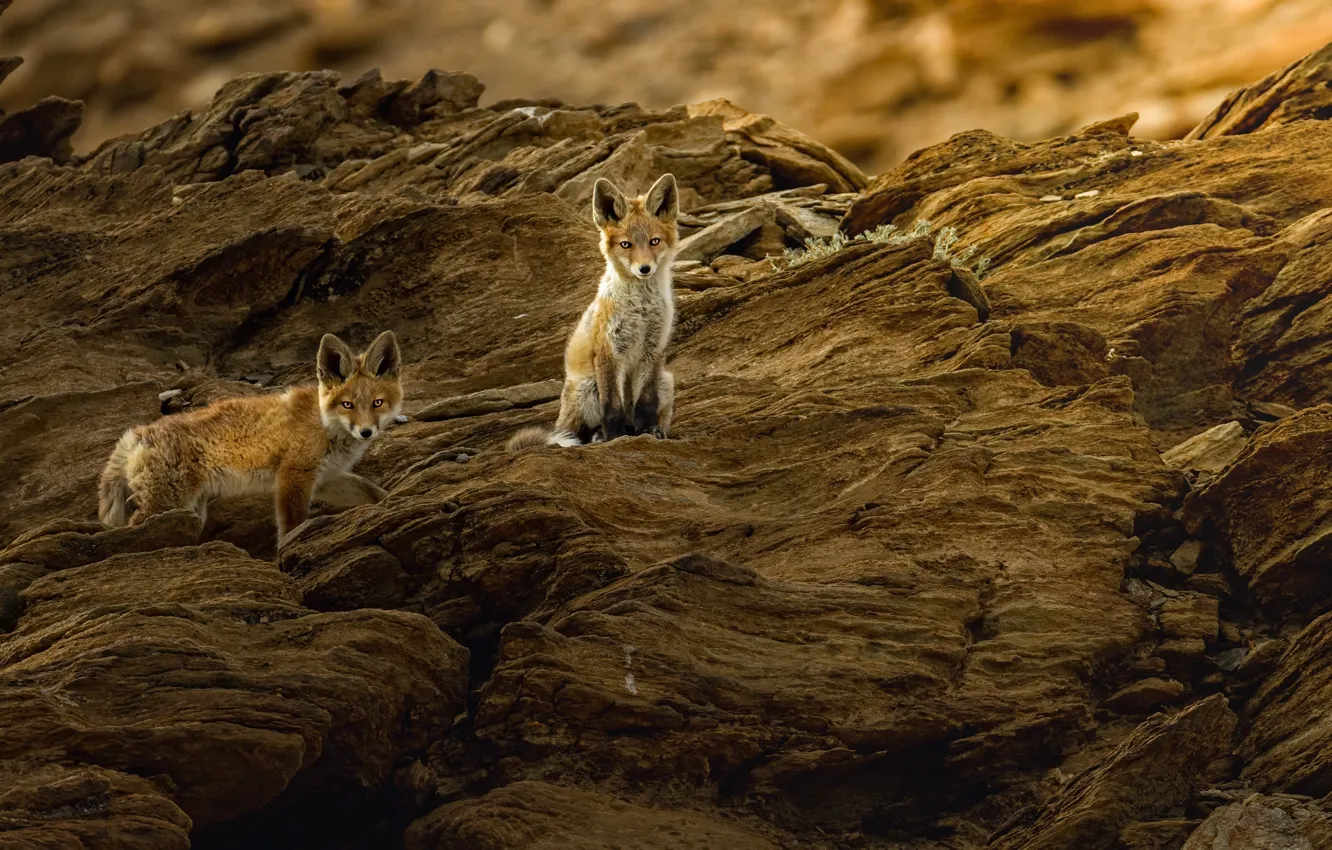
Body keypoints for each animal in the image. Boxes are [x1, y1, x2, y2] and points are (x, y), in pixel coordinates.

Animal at [98, 331, 403, 547]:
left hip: (189, 509)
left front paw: (393, 502)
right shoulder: (293, 476)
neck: (325, 424)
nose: (366, 432)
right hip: (168, 503)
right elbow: (292, 526)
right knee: (135, 526)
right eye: (347, 405)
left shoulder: (326, 478)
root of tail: (140, 432)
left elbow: (370, 491)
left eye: (377, 403)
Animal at [508, 173, 679, 451]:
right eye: (626, 244)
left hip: (666, 380)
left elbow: (645, 403)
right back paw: (599, 436)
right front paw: (615, 438)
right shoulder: (608, 351)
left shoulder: (653, 350)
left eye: (654, 241)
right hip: (588, 388)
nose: (644, 269)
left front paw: (649, 431)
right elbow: (612, 406)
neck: (641, 309)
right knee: (579, 433)